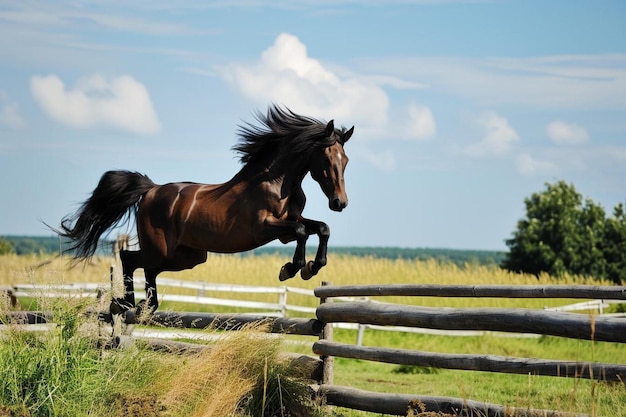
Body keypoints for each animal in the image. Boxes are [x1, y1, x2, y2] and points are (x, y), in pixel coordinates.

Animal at [56, 105, 354, 314]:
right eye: (326, 159)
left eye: (346, 160)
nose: (339, 203)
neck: (279, 182)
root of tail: (151, 190)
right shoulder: (265, 228)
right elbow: (303, 231)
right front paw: (292, 269)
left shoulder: (286, 229)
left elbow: (321, 228)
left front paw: (312, 267)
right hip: (161, 249)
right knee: (130, 259)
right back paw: (127, 303)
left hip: (187, 257)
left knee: (148, 269)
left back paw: (147, 305)